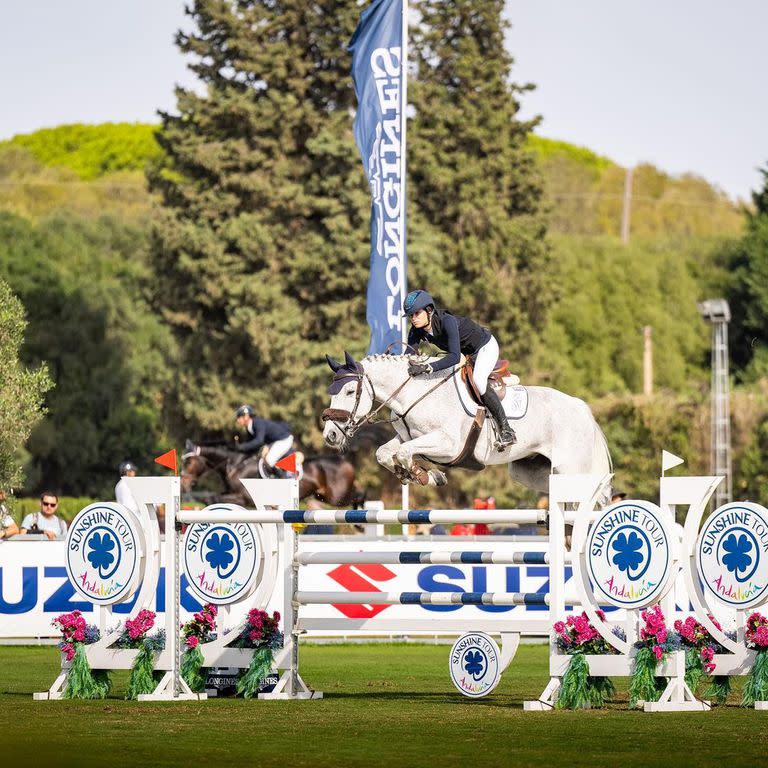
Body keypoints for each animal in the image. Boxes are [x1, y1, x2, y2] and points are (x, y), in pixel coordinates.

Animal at [184, 438, 368, 510]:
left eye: (190, 462)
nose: (184, 483)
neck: (236, 464)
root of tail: (342, 458)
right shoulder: (230, 492)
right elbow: (212, 497)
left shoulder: (244, 498)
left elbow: (214, 498)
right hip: (322, 494)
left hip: (337, 497)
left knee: (358, 495)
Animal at [322, 352, 612, 498]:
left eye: (349, 391)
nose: (330, 436)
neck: (417, 393)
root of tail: (582, 408)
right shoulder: (408, 438)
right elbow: (385, 453)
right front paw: (420, 474)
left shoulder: (449, 445)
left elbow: (404, 453)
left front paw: (422, 475)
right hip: (528, 471)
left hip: (572, 468)